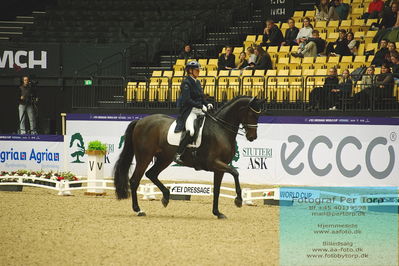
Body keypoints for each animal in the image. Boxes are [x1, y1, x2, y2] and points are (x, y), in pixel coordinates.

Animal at [114, 95, 264, 218]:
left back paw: (166, 197)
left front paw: (217, 212)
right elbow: (235, 173)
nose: (252, 137)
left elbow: (217, 189)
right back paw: (139, 210)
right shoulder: (214, 162)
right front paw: (239, 200)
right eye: (251, 113)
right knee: (135, 180)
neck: (220, 129)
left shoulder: (219, 168)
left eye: (258, 115)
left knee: (151, 174)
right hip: (144, 157)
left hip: (164, 159)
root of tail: (140, 120)